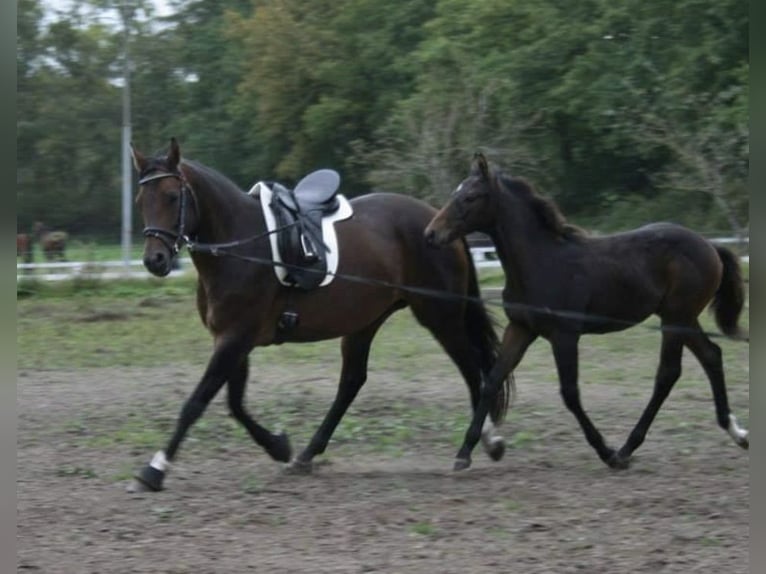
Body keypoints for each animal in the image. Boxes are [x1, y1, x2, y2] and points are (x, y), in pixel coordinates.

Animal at [129, 140, 512, 496]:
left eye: (172, 197)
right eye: (140, 200)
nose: (154, 261)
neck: (239, 245)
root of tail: (436, 220)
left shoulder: (235, 339)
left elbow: (197, 403)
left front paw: (155, 469)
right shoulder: (233, 340)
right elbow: (235, 404)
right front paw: (279, 446)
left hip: (439, 316)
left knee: (472, 370)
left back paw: (484, 443)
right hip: (366, 322)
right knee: (352, 383)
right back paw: (306, 455)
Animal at [424, 153, 752, 472]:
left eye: (470, 196)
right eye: (456, 192)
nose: (431, 233)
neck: (541, 261)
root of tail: (709, 245)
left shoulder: (564, 335)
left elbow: (570, 393)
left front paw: (606, 452)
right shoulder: (521, 328)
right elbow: (492, 380)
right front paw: (464, 453)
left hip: (675, 318)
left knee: (668, 373)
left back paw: (626, 450)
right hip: (683, 317)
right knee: (711, 355)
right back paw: (738, 433)